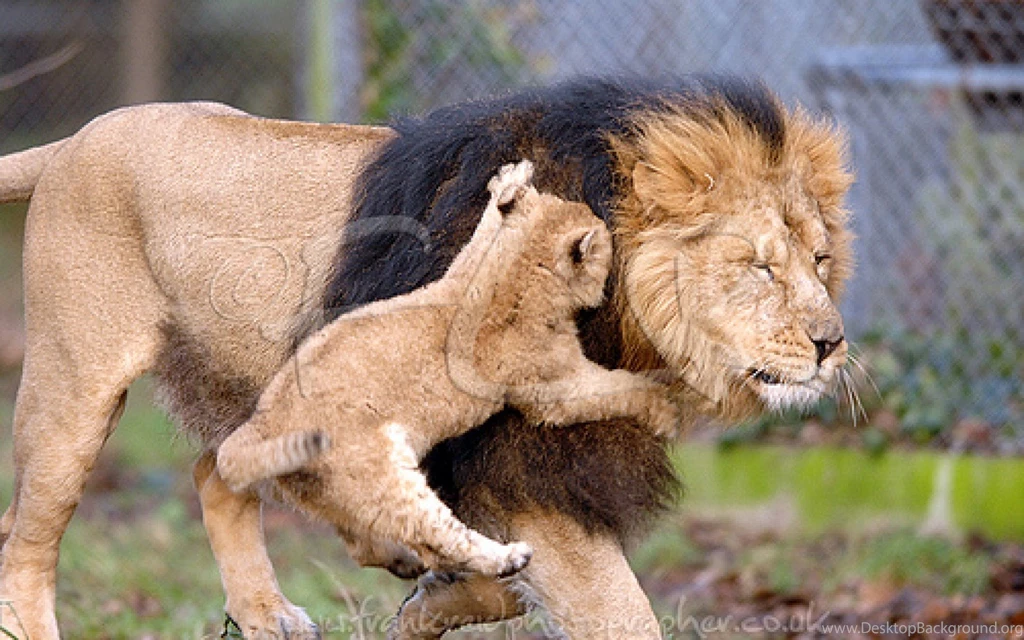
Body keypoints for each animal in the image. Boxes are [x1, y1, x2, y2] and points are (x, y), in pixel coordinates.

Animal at [216, 160, 679, 580]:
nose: (608, 227)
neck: (511, 271)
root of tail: (261, 425)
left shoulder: (469, 261)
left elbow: (487, 225)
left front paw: (511, 179)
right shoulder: (553, 386)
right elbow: (618, 387)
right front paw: (665, 404)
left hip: (325, 494)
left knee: (364, 546)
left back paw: (406, 563)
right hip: (381, 477)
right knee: (436, 534)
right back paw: (506, 559)